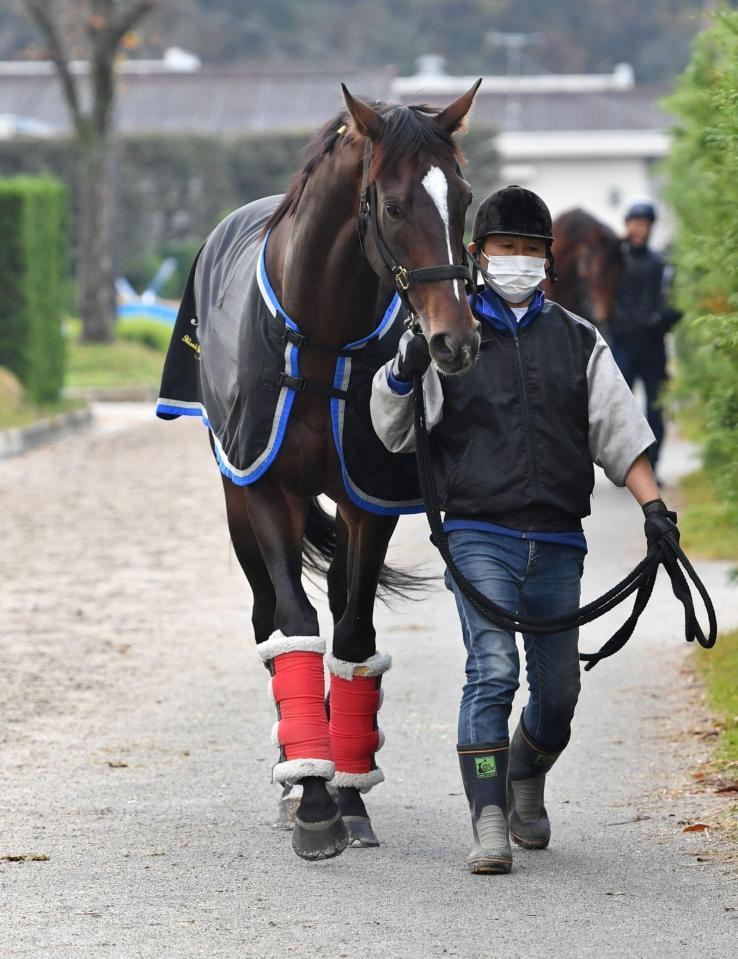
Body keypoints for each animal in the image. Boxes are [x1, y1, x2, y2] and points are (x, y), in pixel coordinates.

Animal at [156, 82, 480, 864]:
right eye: (394, 205)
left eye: (463, 198)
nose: (455, 340)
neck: (323, 333)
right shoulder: (268, 486)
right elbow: (294, 623)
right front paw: (310, 801)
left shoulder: (370, 494)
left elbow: (354, 633)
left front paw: (347, 796)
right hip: (237, 493)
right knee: (267, 614)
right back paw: (293, 769)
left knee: (335, 604)